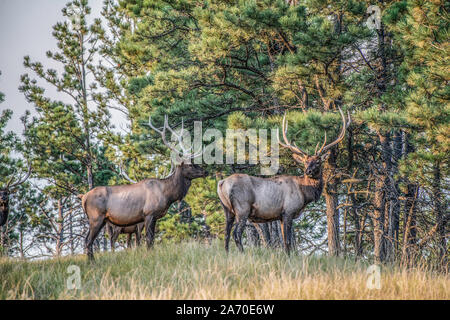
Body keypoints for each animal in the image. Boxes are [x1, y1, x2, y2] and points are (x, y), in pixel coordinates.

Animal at [79, 115, 207, 260]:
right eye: (190, 165)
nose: (205, 171)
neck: (168, 195)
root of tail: (83, 198)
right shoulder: (148, 214)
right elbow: (149, 239)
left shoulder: (154, 217)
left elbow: (151, 239)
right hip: (96, 218)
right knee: (89, 240)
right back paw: (92, 262)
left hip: (100, 220)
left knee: (87, 239)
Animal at [216, 109, 350, 254]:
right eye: (305, 161)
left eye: (318, 161)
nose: (308, 171)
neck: (304, 193)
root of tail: (221, 183)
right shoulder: (288, 211)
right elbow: (287, 241)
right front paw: (289, 256)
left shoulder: (280, 216)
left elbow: (285, 241)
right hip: (242, 208)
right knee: (236, 234)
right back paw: (243, 254)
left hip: (227, 210)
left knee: (226, 234)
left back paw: (227, 254)